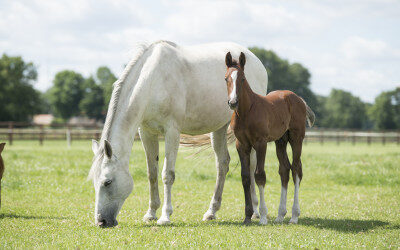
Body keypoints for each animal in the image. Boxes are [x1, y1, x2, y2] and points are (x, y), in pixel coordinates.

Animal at [89, 40, 268, 227]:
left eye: (107, 182)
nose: (101, 221)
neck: (153, 80)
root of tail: (256, 61)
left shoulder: (172, 132)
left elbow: (167, 174)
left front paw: (165, 216)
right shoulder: (146, 132)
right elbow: (152, 173)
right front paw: (151, 213)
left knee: (251, 164)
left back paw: (255, 211)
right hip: (219, 128)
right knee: (222, 163)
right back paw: (211, 211)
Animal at [223, 52, 314, 225]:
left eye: (243, 78)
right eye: (226, 78)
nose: (232, 102)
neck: (246, 112)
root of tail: (298, 98)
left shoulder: (261, 143)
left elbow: (259, 175)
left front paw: (263, 216)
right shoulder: (242, 145)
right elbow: (246, 177)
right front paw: (247, 216)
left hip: (296, 138)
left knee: (296, 169)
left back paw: (294, 216)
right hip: (281, 140)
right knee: (284, 169)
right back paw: (280, 215)